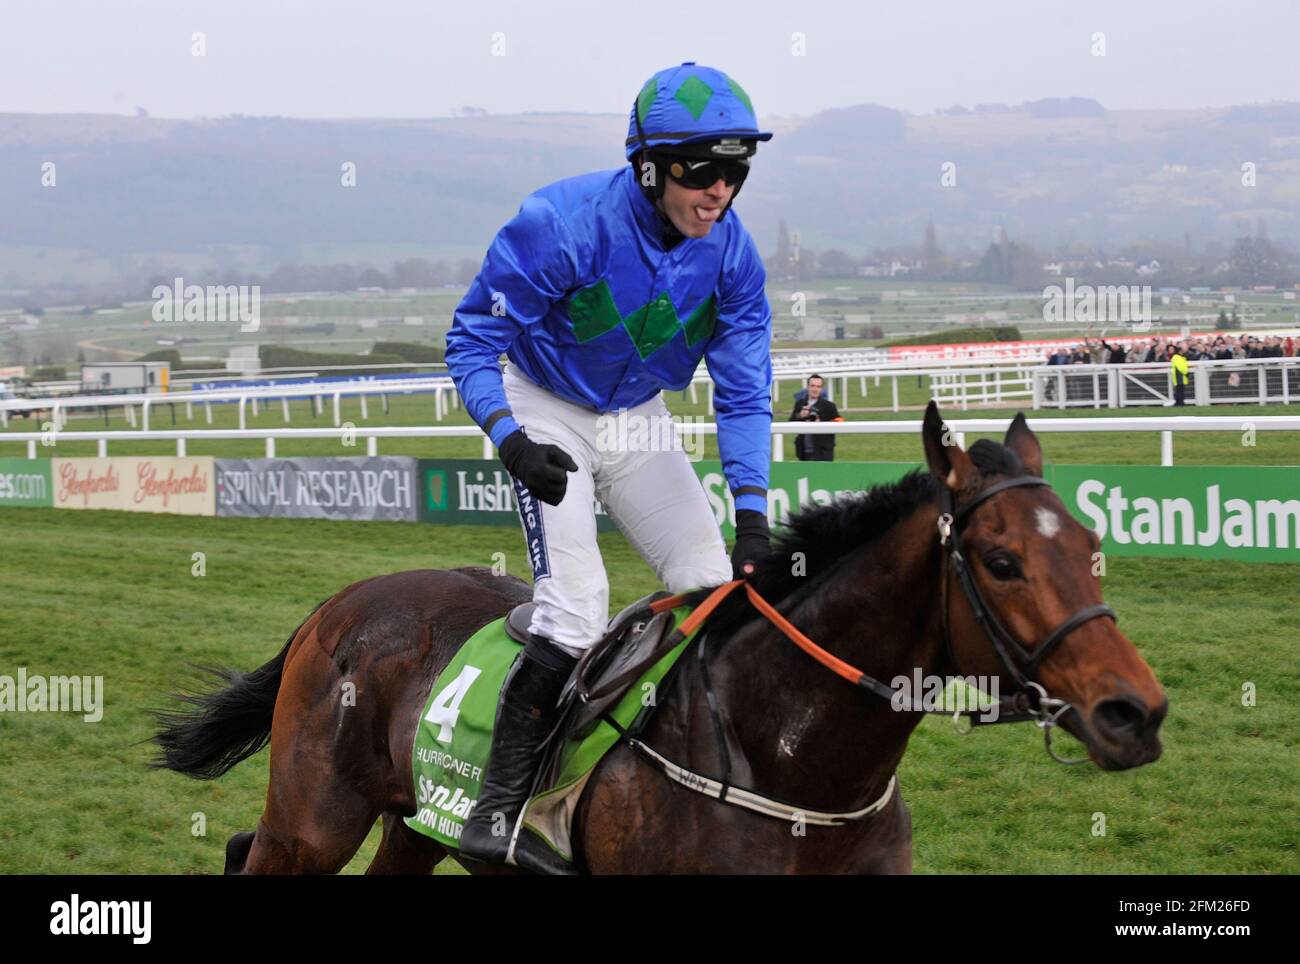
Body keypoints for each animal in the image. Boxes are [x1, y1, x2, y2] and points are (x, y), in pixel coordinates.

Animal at [152, 405, 1170, 878]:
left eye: (1091, 544)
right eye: (1001, 561)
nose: (1137, 712)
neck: (795, 768)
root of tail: (340, 602)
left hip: (414, 824)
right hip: (313, 822)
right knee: (250, 849)